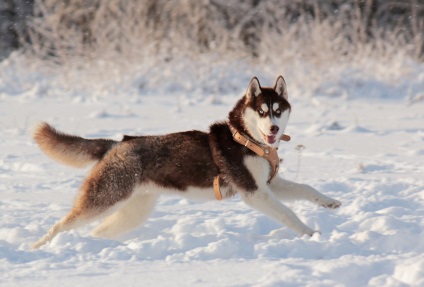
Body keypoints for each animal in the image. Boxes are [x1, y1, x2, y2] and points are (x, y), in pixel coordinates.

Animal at [31, 76, 342, 250]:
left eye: (278, 110)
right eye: (262, 112)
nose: (274, 129)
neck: (246, 140)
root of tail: (117, 143)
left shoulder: (269, 183)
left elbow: (306, 189)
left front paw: (330, 202)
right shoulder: (255, 192)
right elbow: (288, 213)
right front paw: (310, 233)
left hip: (133, 209)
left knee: (99, 230)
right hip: (106, 197)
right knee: (60, 225)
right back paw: (37, 247)